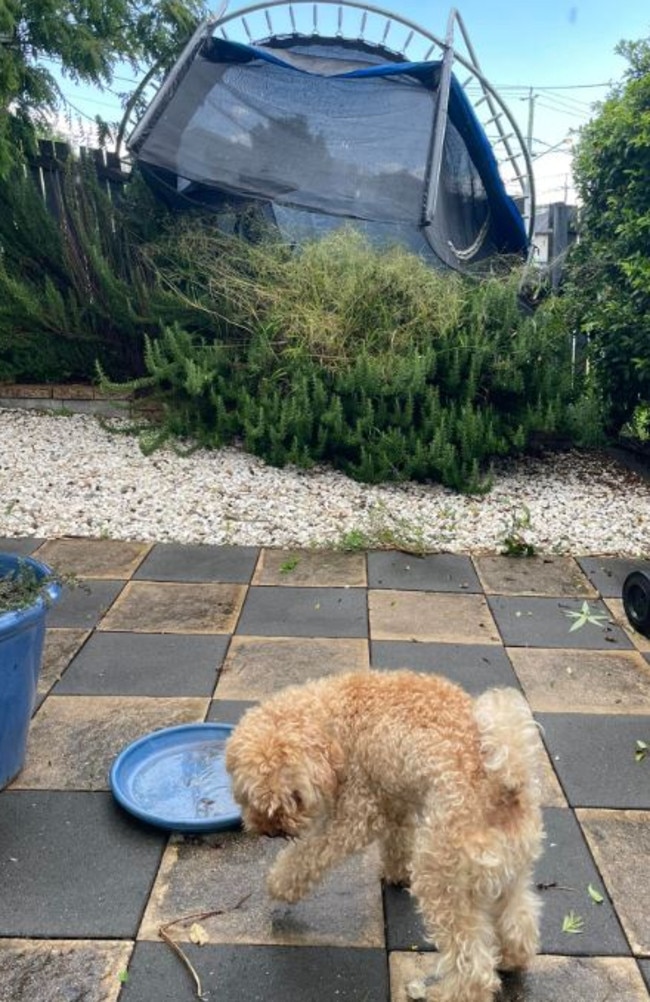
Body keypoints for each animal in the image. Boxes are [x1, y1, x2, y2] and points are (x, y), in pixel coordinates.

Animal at [223, 669, 540, 997]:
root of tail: (505, 785)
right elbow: (397, 838)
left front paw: (278, 883)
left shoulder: (356, 815)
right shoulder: (394, 797)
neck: (334, 718)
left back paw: (447, 993)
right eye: (251, 797)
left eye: (295, 797)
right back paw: (512, 958)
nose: (272, 831)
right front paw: (396, 873)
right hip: (509, 873)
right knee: (520, 920)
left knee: (473, 964)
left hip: (442, 879)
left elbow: (308, 854)